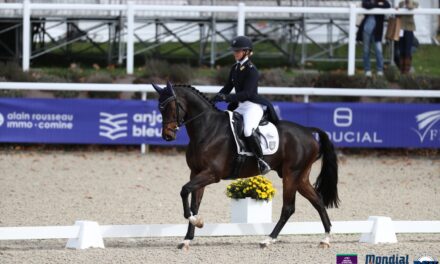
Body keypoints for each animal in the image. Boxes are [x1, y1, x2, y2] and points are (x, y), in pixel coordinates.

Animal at [152, 82, 340, 250]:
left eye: (170, 107)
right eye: (160, 108)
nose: (167, 135)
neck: (207, 129)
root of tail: (308, 131)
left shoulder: (211, 174)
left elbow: (184, 190)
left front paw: (196, 221)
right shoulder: (196, 173)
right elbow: (194, 204)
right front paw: (187, 239)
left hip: (291, 175)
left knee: (288, 208)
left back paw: (268, 240)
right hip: (300, 177)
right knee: (318, 201)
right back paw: (326, 239)